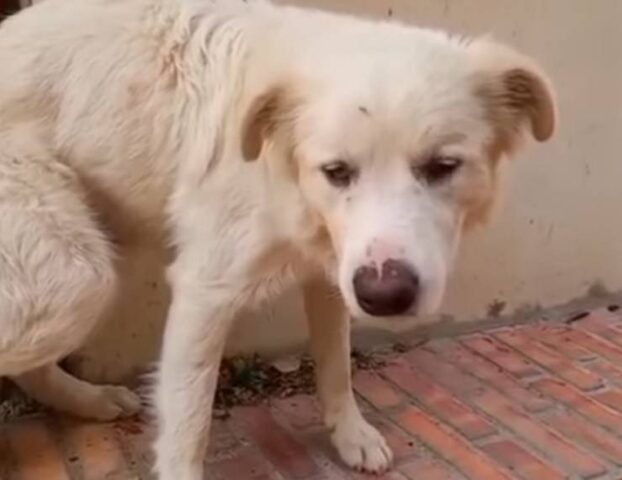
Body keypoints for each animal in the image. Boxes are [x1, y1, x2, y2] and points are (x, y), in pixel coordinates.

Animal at [0, 0, 560, 476]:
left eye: (443, 166)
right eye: (337, 172)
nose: (385, 297)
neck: (279, 165)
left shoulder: (336, 270)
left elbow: (336, 365)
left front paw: (349, 435)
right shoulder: (205, 291)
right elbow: (189, 420)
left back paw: (90, 401)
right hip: (77, 278)